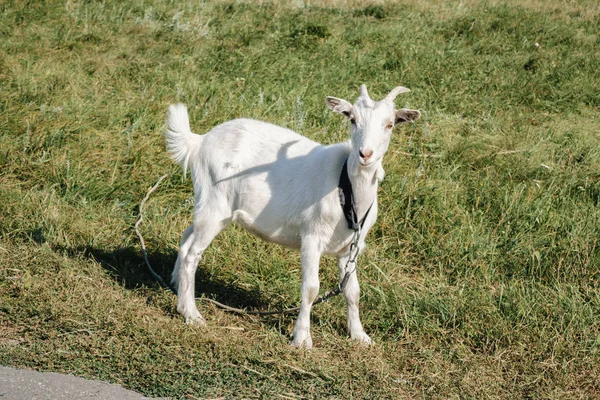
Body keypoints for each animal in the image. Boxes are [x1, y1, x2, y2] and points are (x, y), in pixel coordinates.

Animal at [166, 86, 420, 348]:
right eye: (352, 119)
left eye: (390, 124)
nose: (365, 154)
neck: (346, 187)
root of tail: (199, 142)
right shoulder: (311, 236)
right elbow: (311, 288)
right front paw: (302, 338)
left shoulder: (349, 247)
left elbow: (352, 291)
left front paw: (359, 335)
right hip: (215, 203)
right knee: (192, 253)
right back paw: (191, 314)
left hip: (208, 205)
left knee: (187, 236)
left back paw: (177, 287)